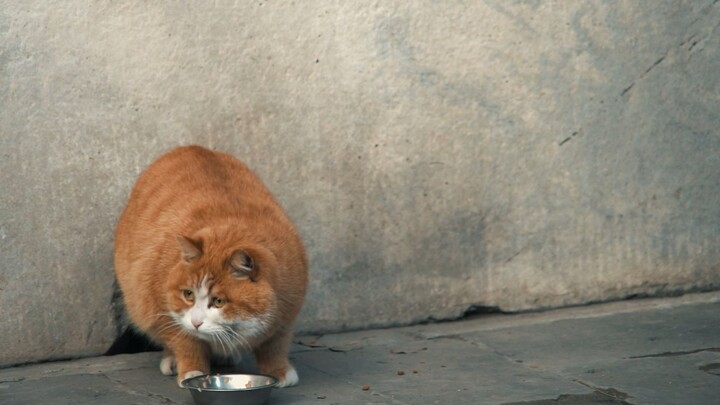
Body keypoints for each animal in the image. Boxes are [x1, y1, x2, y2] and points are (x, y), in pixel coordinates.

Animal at [112, 144, 306, 386]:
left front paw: (279, 371)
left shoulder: (285, 316)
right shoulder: (164, 309)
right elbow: (186, 342)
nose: (196, 323)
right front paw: (192, 371)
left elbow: (274, 346)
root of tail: (188, 147)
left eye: (219, 301)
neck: (229, 229)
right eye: (188, 294)